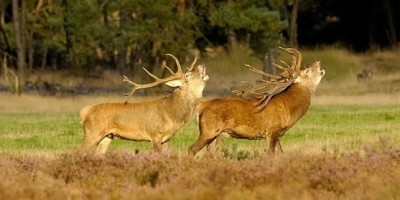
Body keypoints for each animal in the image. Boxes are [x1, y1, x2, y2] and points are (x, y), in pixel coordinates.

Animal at [79, 54, 209, 156]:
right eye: (187, 75)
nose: (201, 65)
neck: (171, 114)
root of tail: (84, 111)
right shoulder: (155, 134)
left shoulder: (166, 139)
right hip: (92, 132)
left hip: (107, 136)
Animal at [188, 47, 324, 155]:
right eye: (307, 70)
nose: (317, 61)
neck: (289, 109)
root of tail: (201, 105)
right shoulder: (272, 131)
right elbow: (270, 155)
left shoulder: (278, 135)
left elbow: (281, 154)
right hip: (208, 130)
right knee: (191, 149)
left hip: (215, 135)